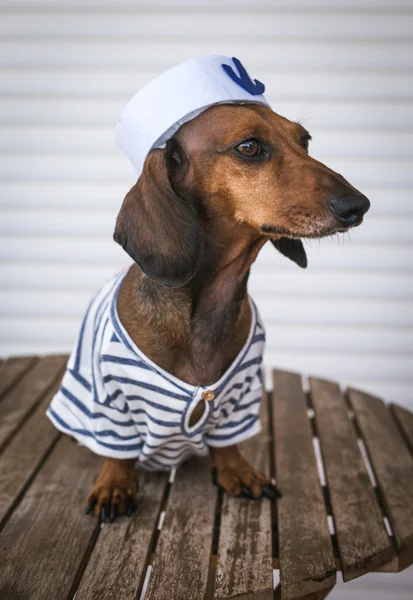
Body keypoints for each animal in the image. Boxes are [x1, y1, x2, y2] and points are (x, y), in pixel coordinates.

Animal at [82, 103, 368, 520]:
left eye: (305, 140)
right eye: (249, 147)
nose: (358, 205)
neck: (210, 305)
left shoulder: (242, 395)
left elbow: (228, 442)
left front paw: (237, 470)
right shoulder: (111, 397)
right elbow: (117, 450)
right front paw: (114, 485)